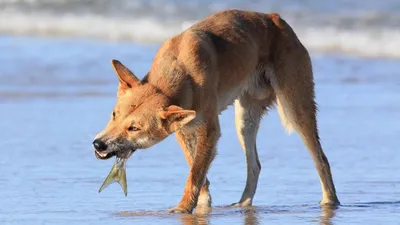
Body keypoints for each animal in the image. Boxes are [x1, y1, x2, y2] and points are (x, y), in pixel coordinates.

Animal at [92, 9, 340, 213]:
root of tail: (276, 19)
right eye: (114, 115)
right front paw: (202, 204)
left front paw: (184, 207)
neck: (181, 70)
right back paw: (243, 204)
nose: (98, 144)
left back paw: (330, 201)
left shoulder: (209, 130)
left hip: (296, 109)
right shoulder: (184, 130)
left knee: (321, 159)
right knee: (255, 165)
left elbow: (195, 172)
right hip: (244, 120)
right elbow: (196, 168)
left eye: (134, 128)